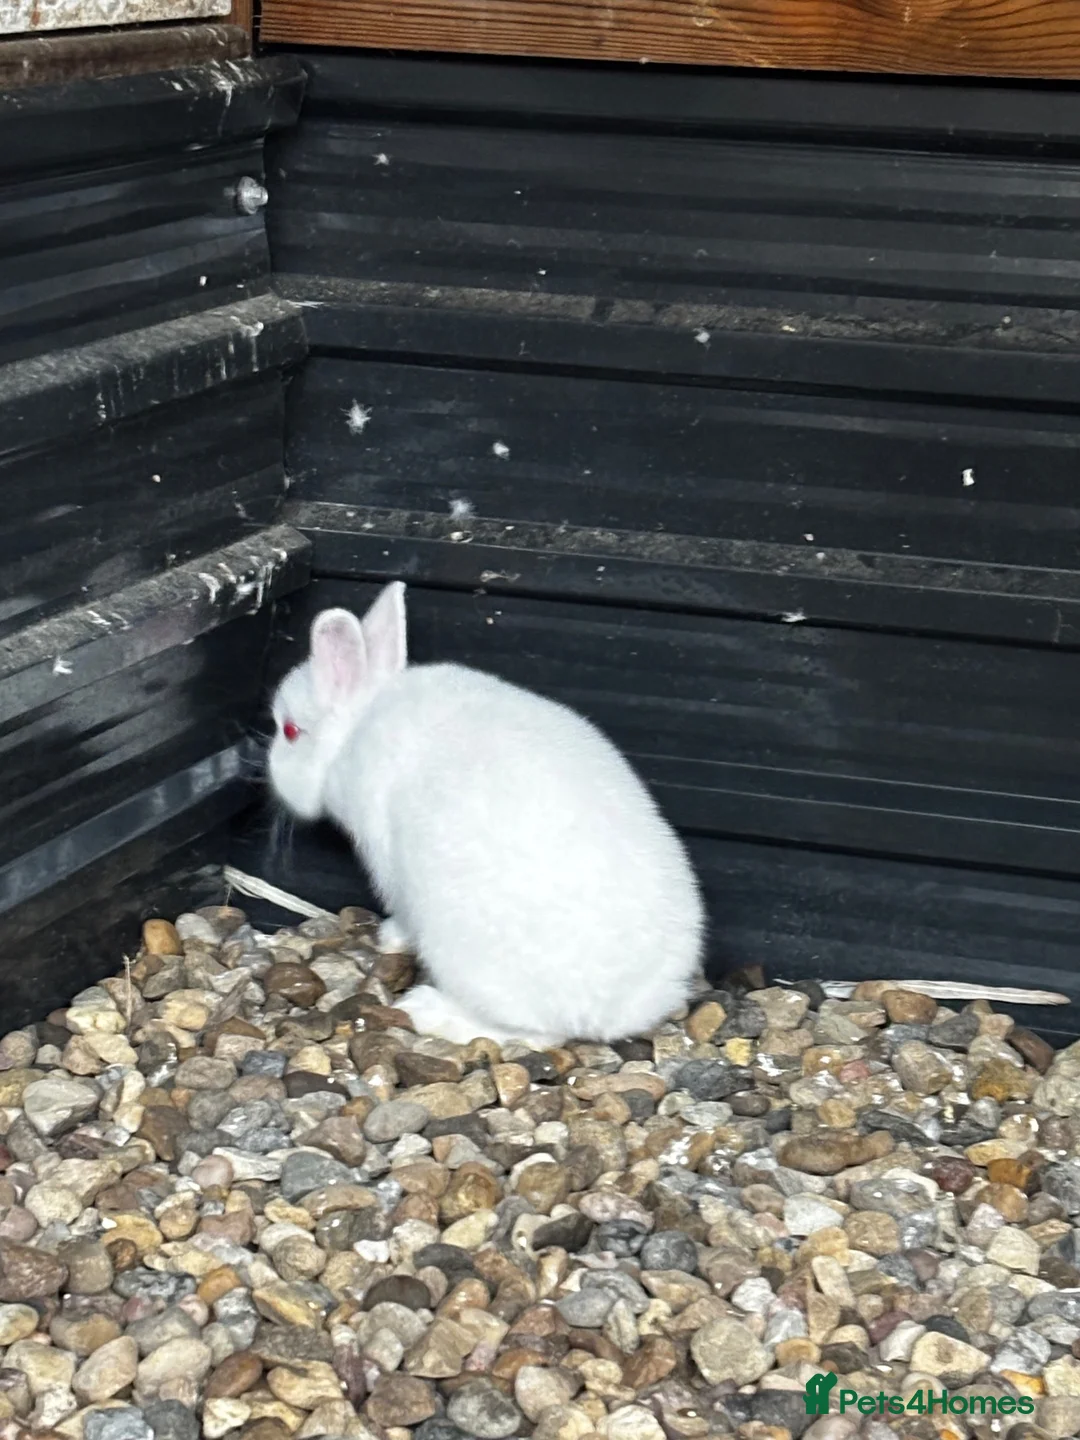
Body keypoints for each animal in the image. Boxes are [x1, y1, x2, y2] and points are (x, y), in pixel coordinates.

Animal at [268, 582, 705, 1047]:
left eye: (290, 731)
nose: (272, 774)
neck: (356, 727)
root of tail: (624, 1009)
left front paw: (390, 937)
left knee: (535, 1034)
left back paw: (429, 1011)